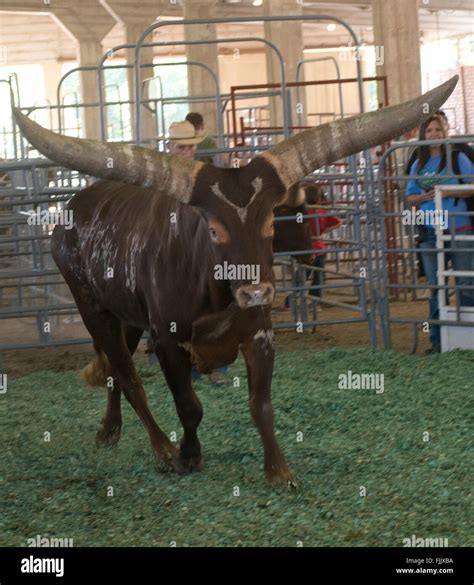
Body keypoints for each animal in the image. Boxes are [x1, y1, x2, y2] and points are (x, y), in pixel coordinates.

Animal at [13, 78, 456, 488]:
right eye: (213, 229)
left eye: (270, 222)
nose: (256, 291)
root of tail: (73, 209)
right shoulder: (168, 340)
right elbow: (189, 406)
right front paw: (189, 456)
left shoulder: (259, 333)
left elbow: (261, 404)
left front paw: (279, 470)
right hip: (92, 307)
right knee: (126, 374)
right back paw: (161, 448)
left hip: (129, 316)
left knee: (113, 374)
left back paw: (110, 429)